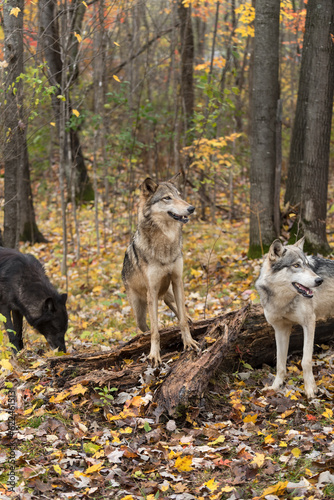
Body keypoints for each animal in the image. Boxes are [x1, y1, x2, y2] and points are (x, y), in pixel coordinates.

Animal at [122, 174, 198, 366]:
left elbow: (183, 321)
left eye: (179, 195)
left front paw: (189, 342)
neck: (165, 243)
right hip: (141, 312)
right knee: (145, 328)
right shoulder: (153, 290)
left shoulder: (177, 281)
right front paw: (154, 355)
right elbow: (155, 331)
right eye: (167, 198)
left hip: (168, 291)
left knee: (178, 308)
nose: (191, 208)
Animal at [254, 238, 332, 398]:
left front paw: (310, 389)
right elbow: (280, 363)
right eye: (296, 265)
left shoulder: (309, 323)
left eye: (307, 265)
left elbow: (306, 361)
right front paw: (275, 387)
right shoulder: (280, 329)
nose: (319, 280)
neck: (282, 301)